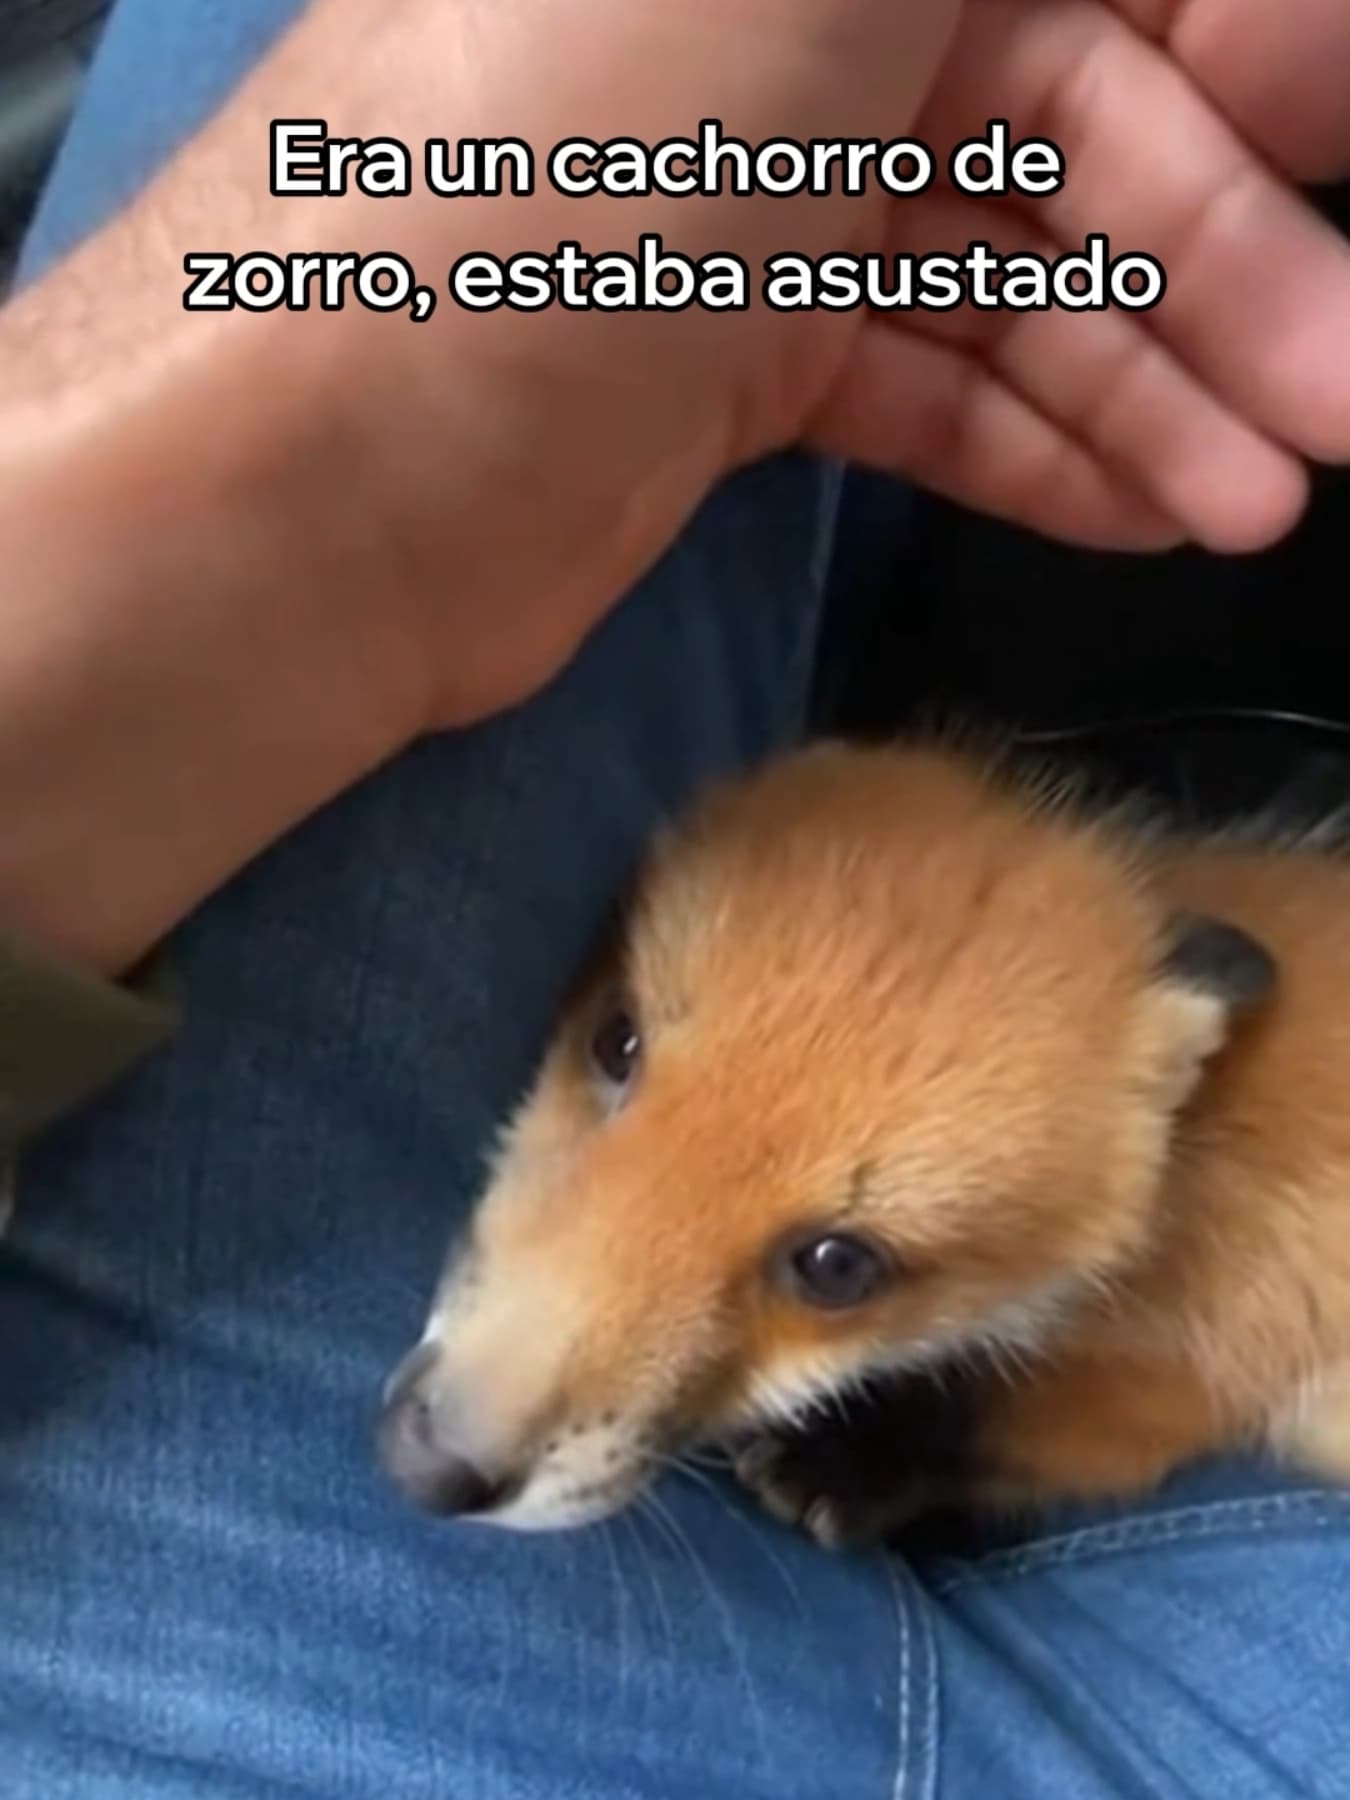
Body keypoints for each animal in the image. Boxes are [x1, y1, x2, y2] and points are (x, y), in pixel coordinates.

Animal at [376, 737, 1350, 1549]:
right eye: (617, 1044)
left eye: (837, 1266)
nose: (431, 1464)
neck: (1191, 1172)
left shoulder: (1197, 1371)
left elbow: (1001, 1428)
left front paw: (848, 1466)